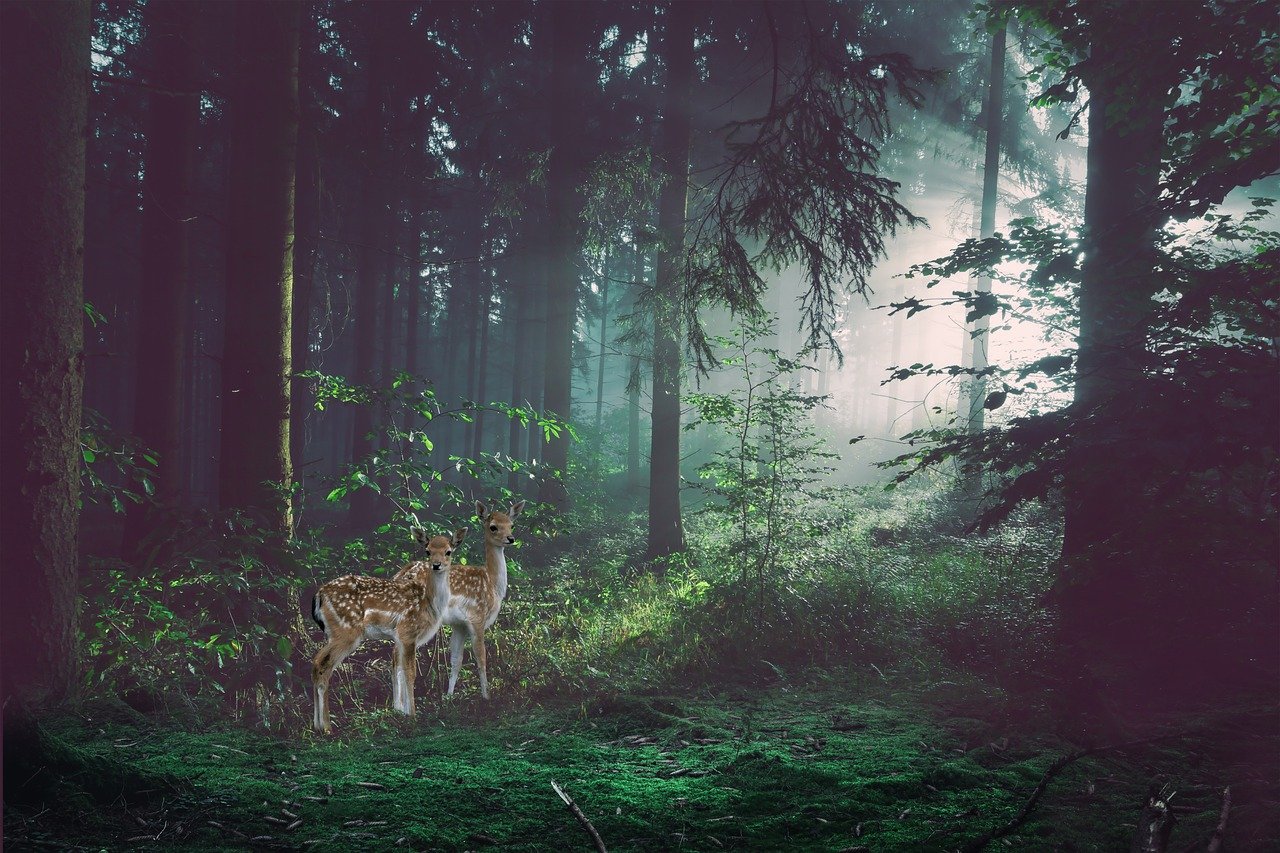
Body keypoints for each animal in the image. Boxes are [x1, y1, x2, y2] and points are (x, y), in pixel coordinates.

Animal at [309, 526, 465, 733]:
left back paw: (317, 725)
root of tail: (319, 595)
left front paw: (402, 712)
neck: (429, 603)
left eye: (448, 551)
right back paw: (326, 726)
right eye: (428, 551)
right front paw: (412, 716)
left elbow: (399, 669)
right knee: (323, 665)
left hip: (336, 633)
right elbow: (410, 672)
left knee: (316, 662)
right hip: (346, 632)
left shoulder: (400, 637)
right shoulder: (408, 633)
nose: (436, 565)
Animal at [394, 499, 523, 699]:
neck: (492, 584)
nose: (510, 538)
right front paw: (486, 696)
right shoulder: (477, 617)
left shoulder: (459, 624)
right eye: (493, 526)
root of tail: (402, 574)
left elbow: (456, 659)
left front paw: (449, 696)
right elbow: (481, 657)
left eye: (512, 524)